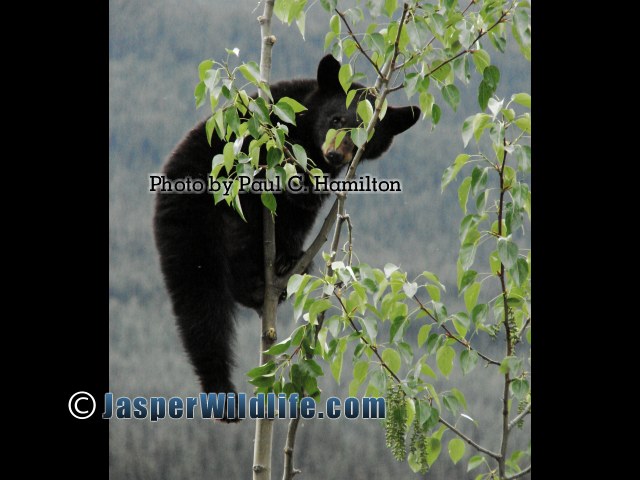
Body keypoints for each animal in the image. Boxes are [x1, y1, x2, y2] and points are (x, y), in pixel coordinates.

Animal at [153, 54, 420, 403]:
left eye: (367, 132)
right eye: (336, 118)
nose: (335, 153)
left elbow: (298, 216)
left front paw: (289, 259)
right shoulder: (267, 125)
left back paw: (259, 287)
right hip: (191, 223)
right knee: (200, 303)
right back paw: (220, 386)